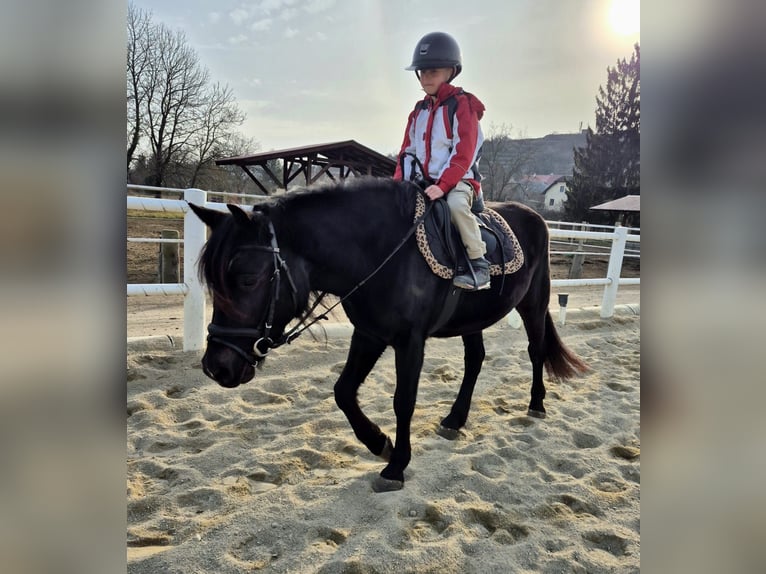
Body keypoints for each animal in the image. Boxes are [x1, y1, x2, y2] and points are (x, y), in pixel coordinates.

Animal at [190, 178, 588, 492]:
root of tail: (536, 217)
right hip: (472, 319)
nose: (216, 367)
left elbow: (403, 401)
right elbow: (343, 391)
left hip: (533, 303)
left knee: (536, 350)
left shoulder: (410, 342)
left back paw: (536, 404)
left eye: (247, 279)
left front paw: (396, 465)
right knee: (475, 360)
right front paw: (379, 442)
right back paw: (454, 419)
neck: (380, 253)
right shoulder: (369, 334)